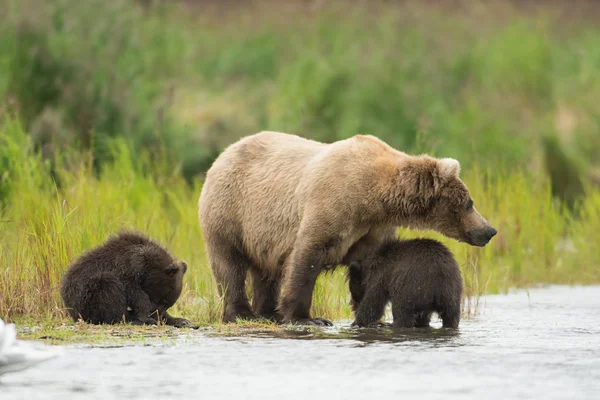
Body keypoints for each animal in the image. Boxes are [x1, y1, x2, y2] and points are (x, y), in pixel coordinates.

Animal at [59, 231, 191, 328]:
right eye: (163, 300)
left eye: (167, 304)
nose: (156, 315)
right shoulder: (127, 270)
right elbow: (135, 294)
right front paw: (146, 317)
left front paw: (180, 320)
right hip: (87, 297)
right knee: (108, 290)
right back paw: (131, 320)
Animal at [198, 131, 496, 324]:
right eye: (469, 202)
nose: (489, 230)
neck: (374, 196)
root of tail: (223, 153)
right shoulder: (331, 203)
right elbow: (306, 257)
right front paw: (305, 318)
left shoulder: (370, 228)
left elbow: (365, 270)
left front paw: (365, 311)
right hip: (230, 210)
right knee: (229, 265)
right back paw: (240, 313)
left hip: (261, 232)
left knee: (265, 272)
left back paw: (267, 312)